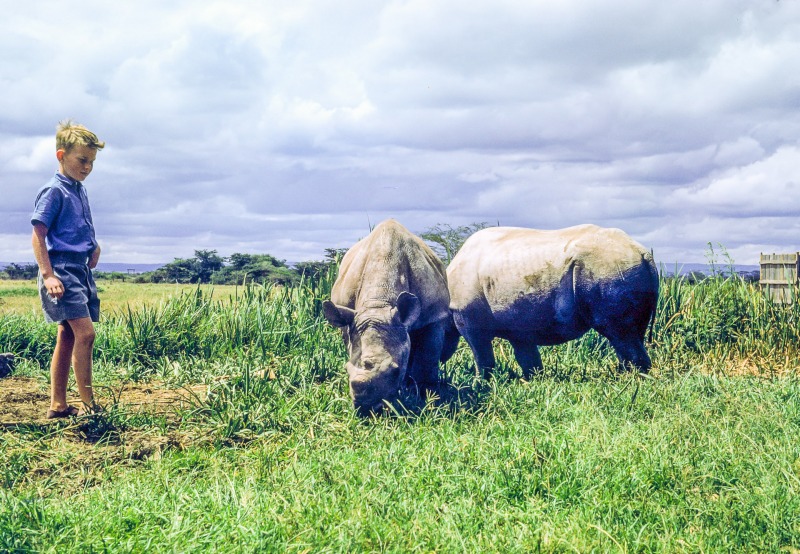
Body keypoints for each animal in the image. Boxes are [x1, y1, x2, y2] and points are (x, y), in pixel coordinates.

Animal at [324, 218, 450, 412]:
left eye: (395, 371)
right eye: (346, 369)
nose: (366, 409)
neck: (378, 303)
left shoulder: (434, 315)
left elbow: (428, 356)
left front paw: (428, 398)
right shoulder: (347, 316)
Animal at [444, 223, 656, 376]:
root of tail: (643, 253)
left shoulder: (468, 318)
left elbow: (482, 356)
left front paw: (482, 382)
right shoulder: (518, 325)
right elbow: (527, 357)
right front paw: (532, 381)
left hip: (608, 269)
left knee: (618, 332)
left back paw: (628, 380)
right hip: (621, 268)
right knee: (632, 333)